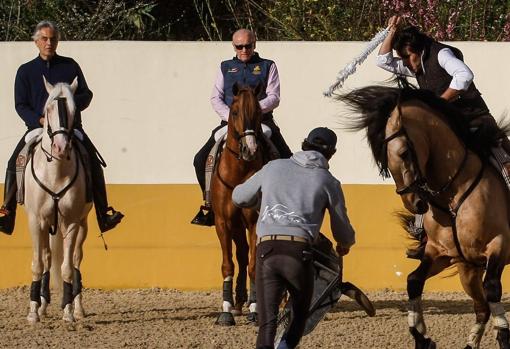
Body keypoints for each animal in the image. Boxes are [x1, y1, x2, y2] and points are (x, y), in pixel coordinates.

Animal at [24, 77, 92, 322]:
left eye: (74, 109)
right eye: (48, 109)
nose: (60, 147)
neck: (55, 172)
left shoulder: (71, 222)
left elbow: (67, 268)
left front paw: (68, 312)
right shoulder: (36, 222)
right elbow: (37, 264)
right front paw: (33, 312)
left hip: (82, 225)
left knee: (76, 260)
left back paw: (78, 308)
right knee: (46, 257)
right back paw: (42, 305)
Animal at [338, 85, 510, 348]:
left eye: (404, 152)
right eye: (383, 160)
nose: (414, 203)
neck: (453, 194)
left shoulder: (498, 245)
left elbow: (492, 288)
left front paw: (503, 336)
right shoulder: (442, 253)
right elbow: (413, 281)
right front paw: (421, 335)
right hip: (467, 271)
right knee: (481, 308)